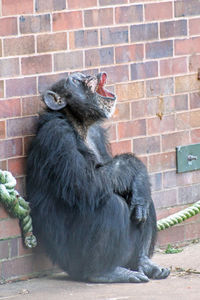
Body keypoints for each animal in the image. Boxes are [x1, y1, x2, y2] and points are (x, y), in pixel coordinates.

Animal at [26, 72, 170, 284]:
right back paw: (105, 272)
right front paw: (134, 166)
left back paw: (144, 263)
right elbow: (84, 182)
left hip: (125, 256)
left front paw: (140, 176)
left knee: (143, 200)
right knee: (112, 205)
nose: (89, 75)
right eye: (75, 80)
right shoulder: (57, 135)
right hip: (73, 261)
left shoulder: (98, 135)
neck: (79, 124)